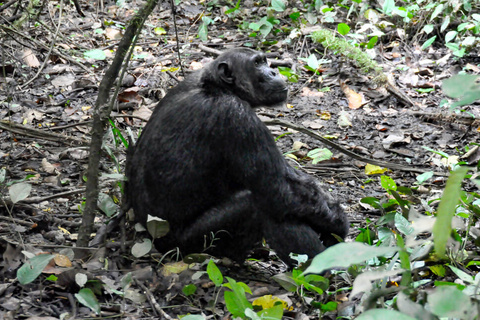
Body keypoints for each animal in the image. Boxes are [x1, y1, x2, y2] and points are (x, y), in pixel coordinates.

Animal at [124, 48, 348, 264]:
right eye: (257, 63)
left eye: (265, 61)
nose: (274, 71)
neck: (218, 87)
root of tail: (153, 241)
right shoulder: (237, 117)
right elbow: (279, 187)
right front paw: (337, 222)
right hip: (191, 245)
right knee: (259, 204)